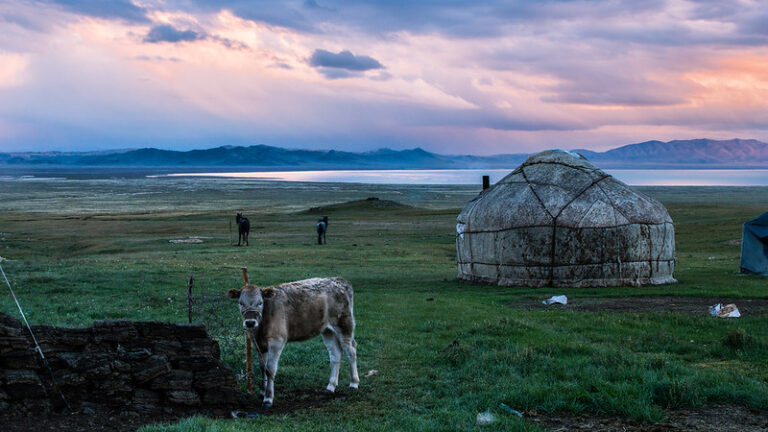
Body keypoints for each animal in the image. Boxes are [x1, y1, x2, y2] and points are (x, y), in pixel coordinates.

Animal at [226, 276, 362, 408]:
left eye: (260, 303)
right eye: (240, 303)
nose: (250, 322)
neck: (260, 329)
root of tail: (340, 280)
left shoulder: (276, 341)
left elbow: (270, 369)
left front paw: (268, 398)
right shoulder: (258, 344)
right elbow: (262, 367)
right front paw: (262, 392)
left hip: (344, 324)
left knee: (351, 350)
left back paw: (353, 384)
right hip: (327, 330)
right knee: (335, 354)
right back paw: (330, 387)